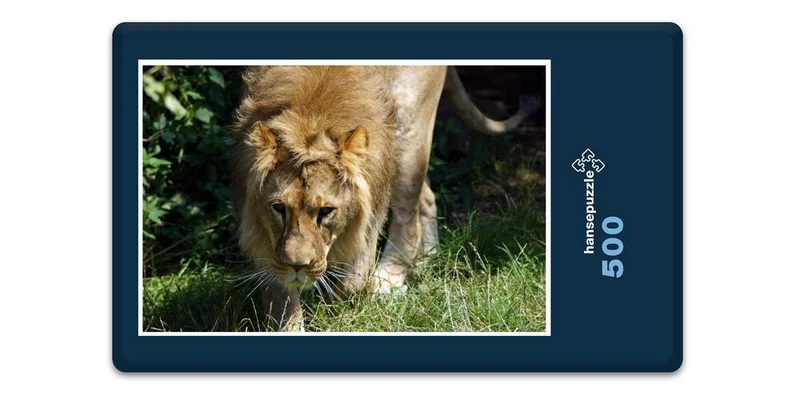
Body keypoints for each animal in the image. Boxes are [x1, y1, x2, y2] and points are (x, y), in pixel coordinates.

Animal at [230, 66, 538, 331]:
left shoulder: (369, 213)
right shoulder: (266, 238)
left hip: (408, 127)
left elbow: (352, 281)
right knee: (427, 197)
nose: (297, 266)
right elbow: (280, 302)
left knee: (408, 217)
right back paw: (427, 261)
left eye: (326, 211)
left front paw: (335, 308)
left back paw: (389, 281)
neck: (312, 117)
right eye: (278, 208)